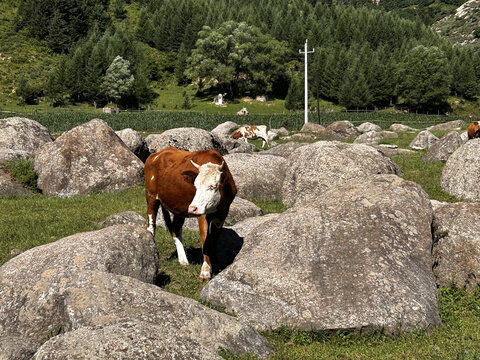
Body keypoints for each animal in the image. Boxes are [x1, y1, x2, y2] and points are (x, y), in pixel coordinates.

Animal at [145, 147, 237, 282]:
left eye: (212, 186)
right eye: (195, 186)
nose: (192, 208)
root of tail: (157, 154)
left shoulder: (222, 213)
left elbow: (215, 239)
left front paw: (214, 264)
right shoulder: (202, 214)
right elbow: (206, 242)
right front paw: (205, 271)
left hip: (179, 207)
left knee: (176, 229)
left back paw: (183, 260)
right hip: (151, 197)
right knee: (151, 226)